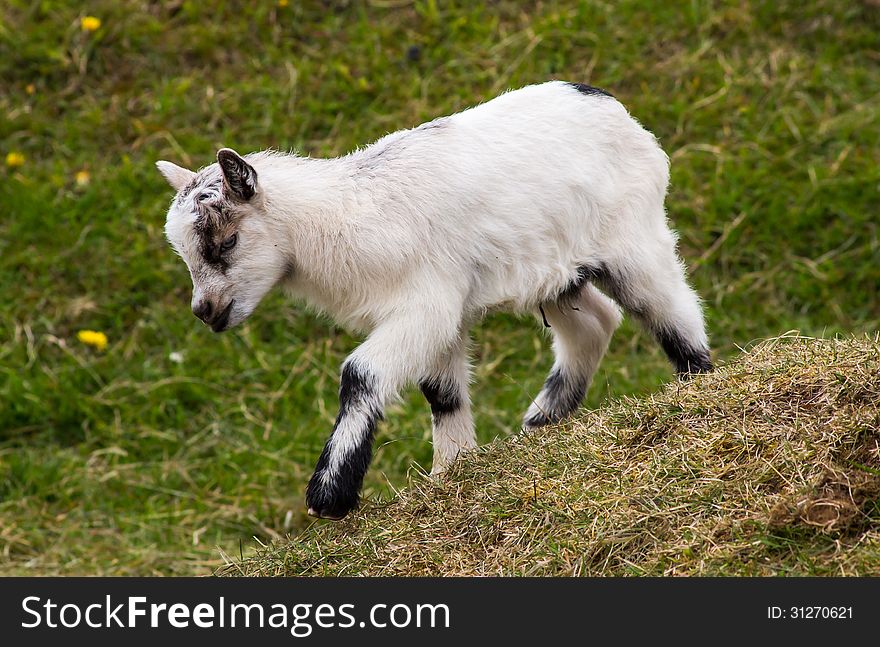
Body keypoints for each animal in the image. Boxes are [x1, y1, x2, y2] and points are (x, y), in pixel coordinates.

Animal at [158, 81, 712, 520]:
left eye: (225, 242)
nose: (205, 313)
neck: (340, 217)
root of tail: (609, 104)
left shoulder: (426, 305)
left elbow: (361, 374)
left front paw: (330, 496)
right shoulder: (441, 316)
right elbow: (442, 394)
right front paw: (452, 471)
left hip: (631, 236)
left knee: (670, 308)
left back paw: (696, 383)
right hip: (555, 269)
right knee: (595, 322)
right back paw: (540, 423)